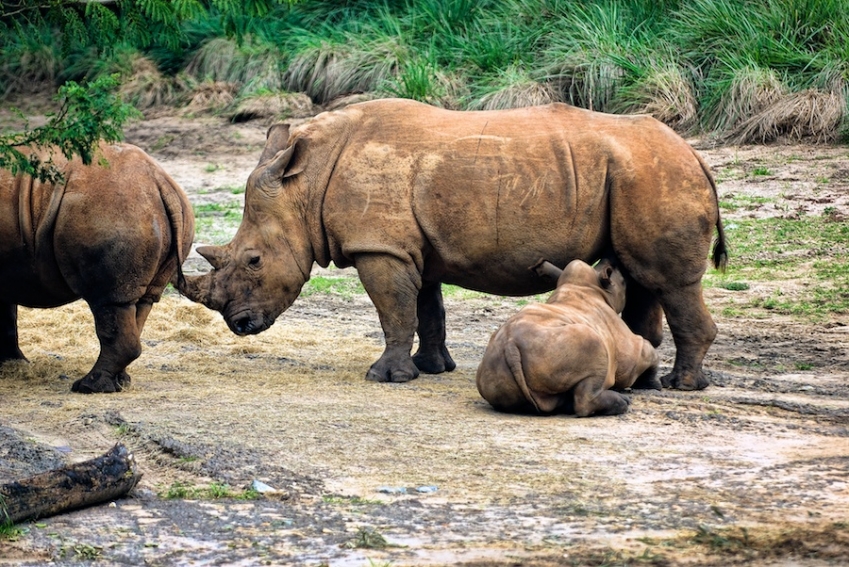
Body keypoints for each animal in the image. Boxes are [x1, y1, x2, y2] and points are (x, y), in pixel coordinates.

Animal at [0, 143, 194, 393]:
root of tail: (161, 182)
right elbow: (6, 314)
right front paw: (13, 365)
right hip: (157, 211)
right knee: (140, 303)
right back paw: (120, 382)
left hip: (111, 210)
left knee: (108, 301)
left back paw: (87, 386)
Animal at [179, 98, 726, 390]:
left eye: (253, 260)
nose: (239, 326)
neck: (304, 184)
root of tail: (696, 155)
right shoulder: (410, 247)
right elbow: (426, 308)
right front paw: (431, 369)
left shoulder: (380, 247)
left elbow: (393, 310)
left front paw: (386, 378)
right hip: (641, 176)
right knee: (641, 276)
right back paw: (647, 381)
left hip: (652, 177)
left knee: (669, 281)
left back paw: (680, 386)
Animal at [476, 258, 659, 417]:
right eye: (624, 283)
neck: (591, 288)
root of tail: (510, 346)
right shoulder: (628, 349)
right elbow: (645, 350)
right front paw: (653, 384)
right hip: (558, 346)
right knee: (592, 346)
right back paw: (622, 403)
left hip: (497, 366)